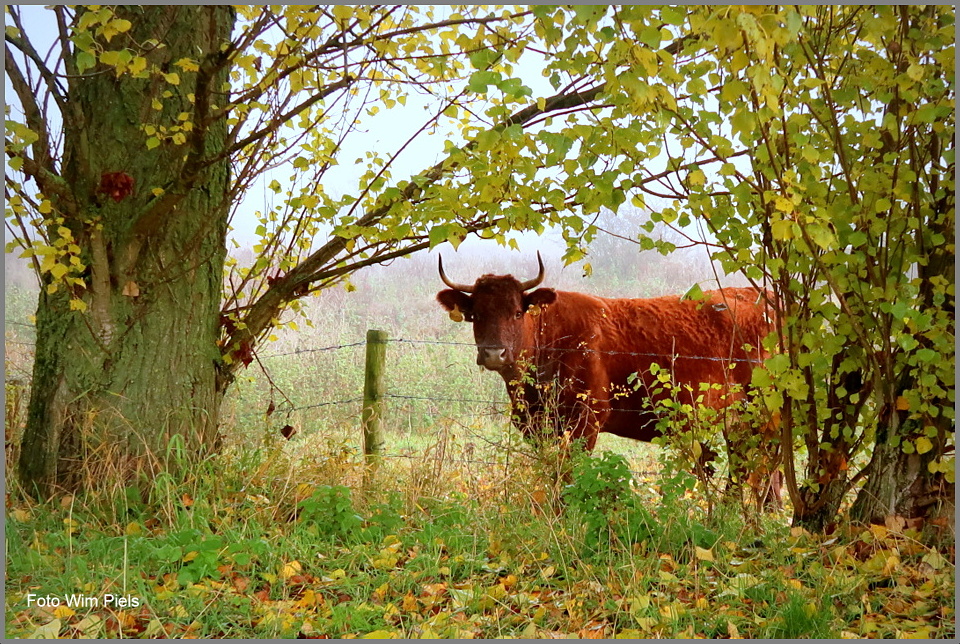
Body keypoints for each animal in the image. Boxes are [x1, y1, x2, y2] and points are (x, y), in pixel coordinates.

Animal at [436, 252, 780, 498]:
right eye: (476, 315)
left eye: (517, 312)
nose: (495, 353)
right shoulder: (535, 427)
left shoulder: (585, 421)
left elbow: (570, 473)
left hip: (759, 414)